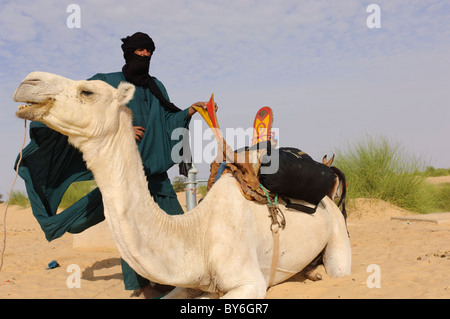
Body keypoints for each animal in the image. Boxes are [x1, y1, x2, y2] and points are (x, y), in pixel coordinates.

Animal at [12, 71, 352, 298]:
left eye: (87, 91)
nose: (28, 81)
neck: (195, 235)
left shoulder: (249, 283)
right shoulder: (186, 284)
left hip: (337, 234)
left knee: (338, 267)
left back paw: (319, 273)